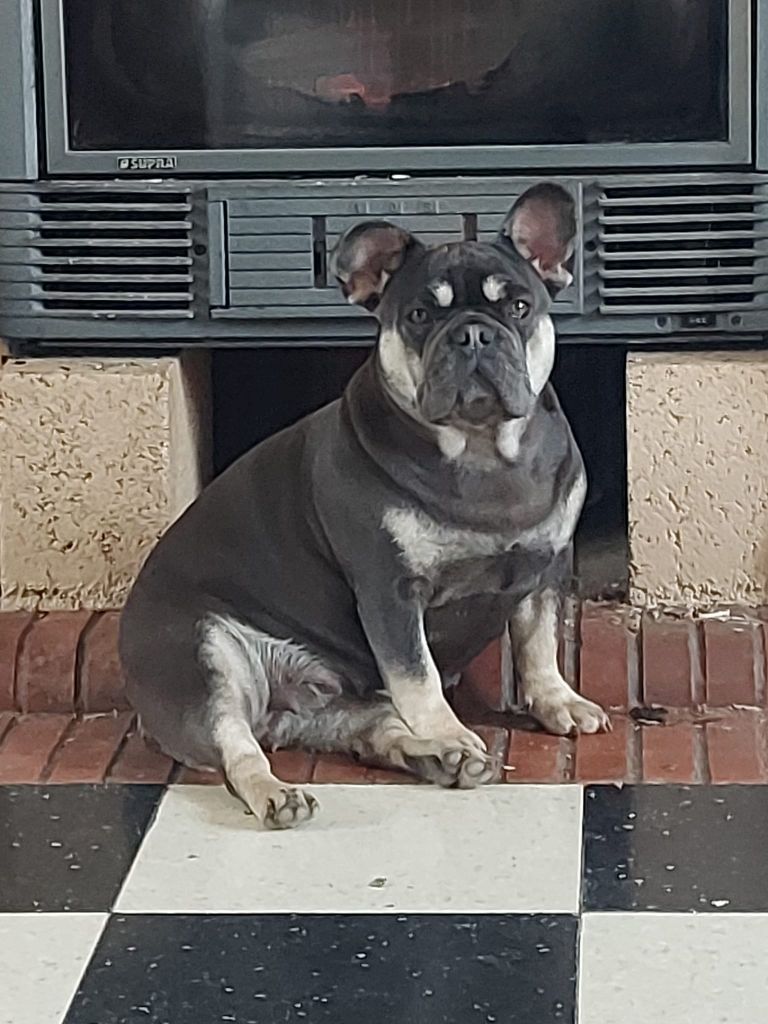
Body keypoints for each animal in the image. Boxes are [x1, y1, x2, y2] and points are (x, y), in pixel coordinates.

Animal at [120, 180, 614, 827]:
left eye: (518, 308)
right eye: (420, 316)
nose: (472, 333)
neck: (483, 451)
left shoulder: (546, 568)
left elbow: (538, 643)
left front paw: (557, 701)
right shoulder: (391, 593)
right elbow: (418, 674)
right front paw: (449, 730)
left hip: (344, 703)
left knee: (378, 731)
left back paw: (438, 758)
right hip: (205, 664)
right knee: (238, 748)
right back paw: (288, 791)